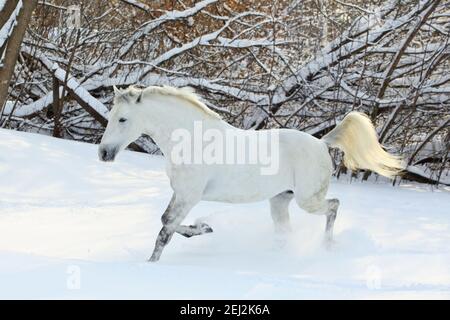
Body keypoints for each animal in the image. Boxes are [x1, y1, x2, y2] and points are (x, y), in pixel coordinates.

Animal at [99, 85, 404, 262]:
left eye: (123, 118)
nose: (103, 153)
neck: (192, 139)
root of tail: (321, 143)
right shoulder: (182, 194)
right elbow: (168, 223)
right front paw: (204, 228)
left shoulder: (189, 196)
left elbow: (166, 229)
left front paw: (151, 264)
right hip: (280, 200)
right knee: (286, 230)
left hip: (308, 200)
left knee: (334, 206)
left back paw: (327, 247)